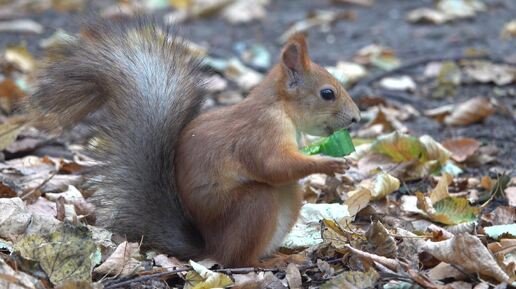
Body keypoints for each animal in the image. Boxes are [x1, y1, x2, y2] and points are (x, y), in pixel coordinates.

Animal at [30, 19, 360, 266]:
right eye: (327, 93)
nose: (357, 118)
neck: (279, 107)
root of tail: (209, 247)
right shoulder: (260, 132)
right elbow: (271, 166)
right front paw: (329, 163)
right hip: (252, 206)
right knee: (238, 258)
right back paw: (272, 262)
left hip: (286, 202)